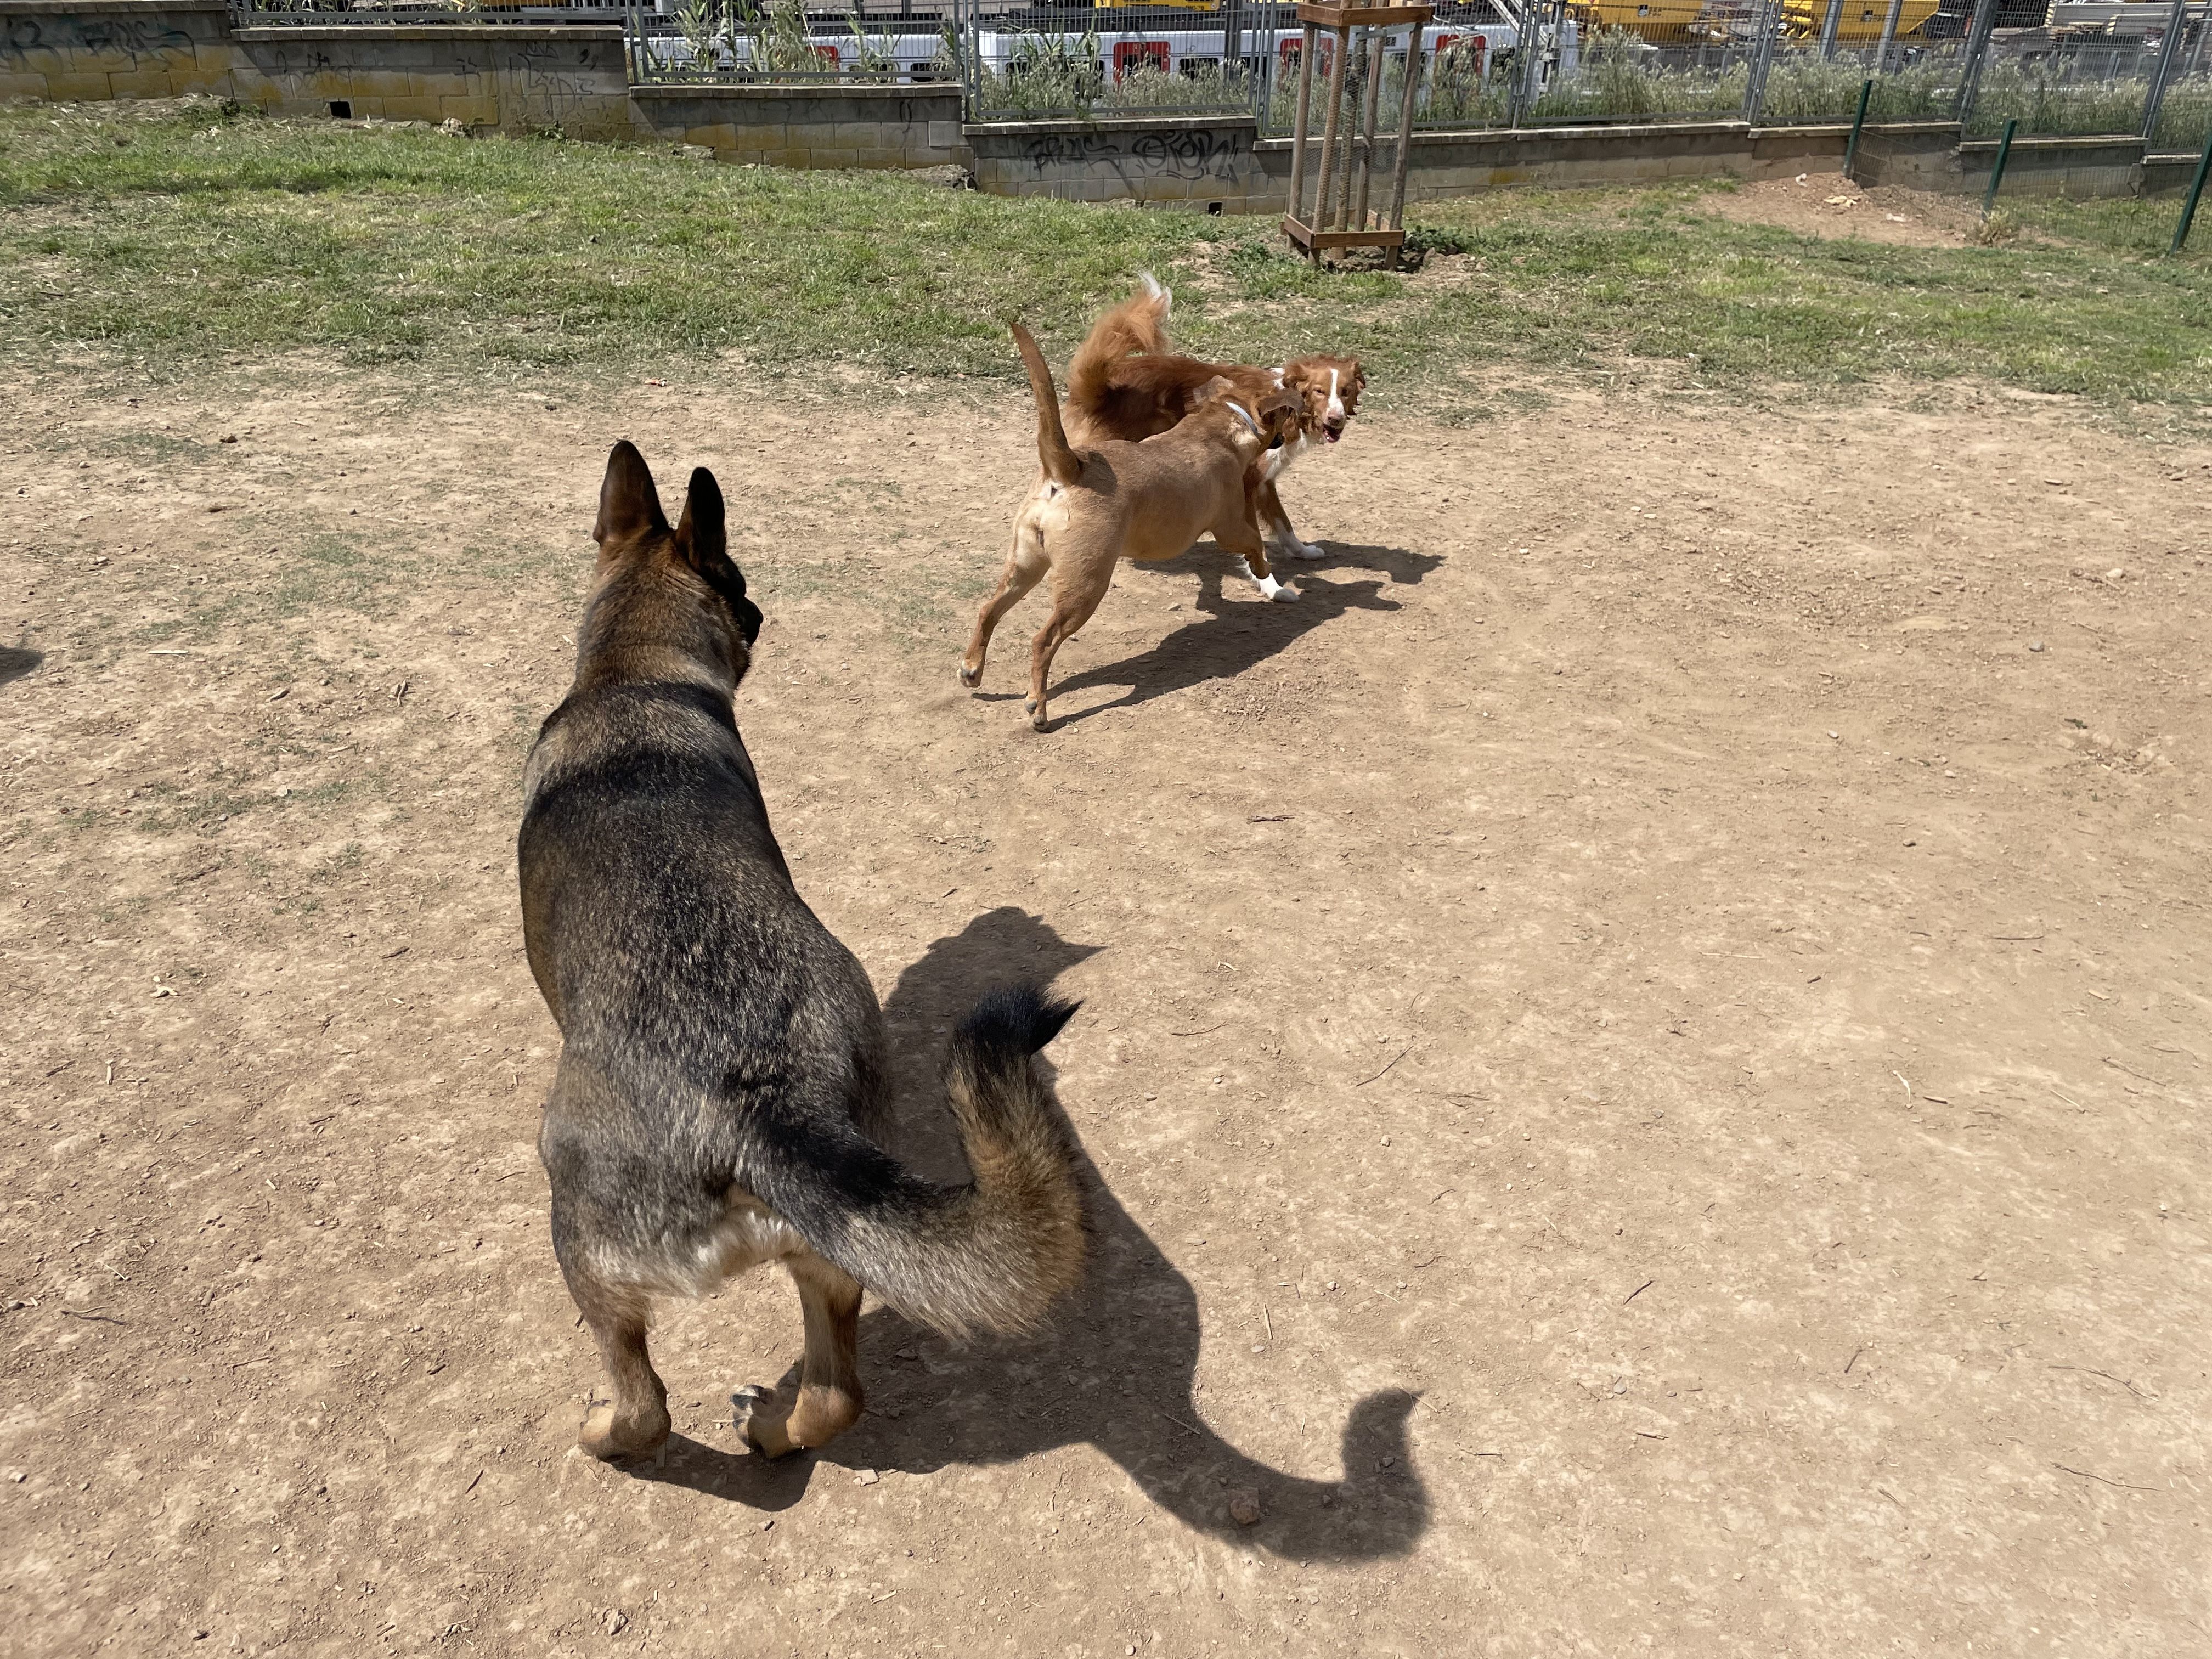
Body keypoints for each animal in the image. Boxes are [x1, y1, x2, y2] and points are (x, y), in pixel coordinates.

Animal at [511, 444, 1079, 1469]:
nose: (763, 612)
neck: (634, 674)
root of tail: (761, 1105)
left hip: (580, 1233)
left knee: (649, 1405)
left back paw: (604, 1431)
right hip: (832, 1258)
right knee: (833, 1399)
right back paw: (771, 1427)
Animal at [960, 325, 1300, 734]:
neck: (1220, 422)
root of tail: (1071, 469)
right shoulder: (1230, 526)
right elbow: (1255, 542)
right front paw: (1268, 576)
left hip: (1025, 567)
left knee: (988, 610)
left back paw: (972, 669)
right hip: (1085, 587)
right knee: (1043, 641)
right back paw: (1038, 709)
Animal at [1057, 276, 1362, 579]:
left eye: (1345, 392)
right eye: (1320, 391)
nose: (1336, 419)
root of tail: (1102, 387)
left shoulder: (1265, 480)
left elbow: (1283, 523)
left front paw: (1302, 551)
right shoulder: (1247, 481)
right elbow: (1256, 537)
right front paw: (1270, 584)